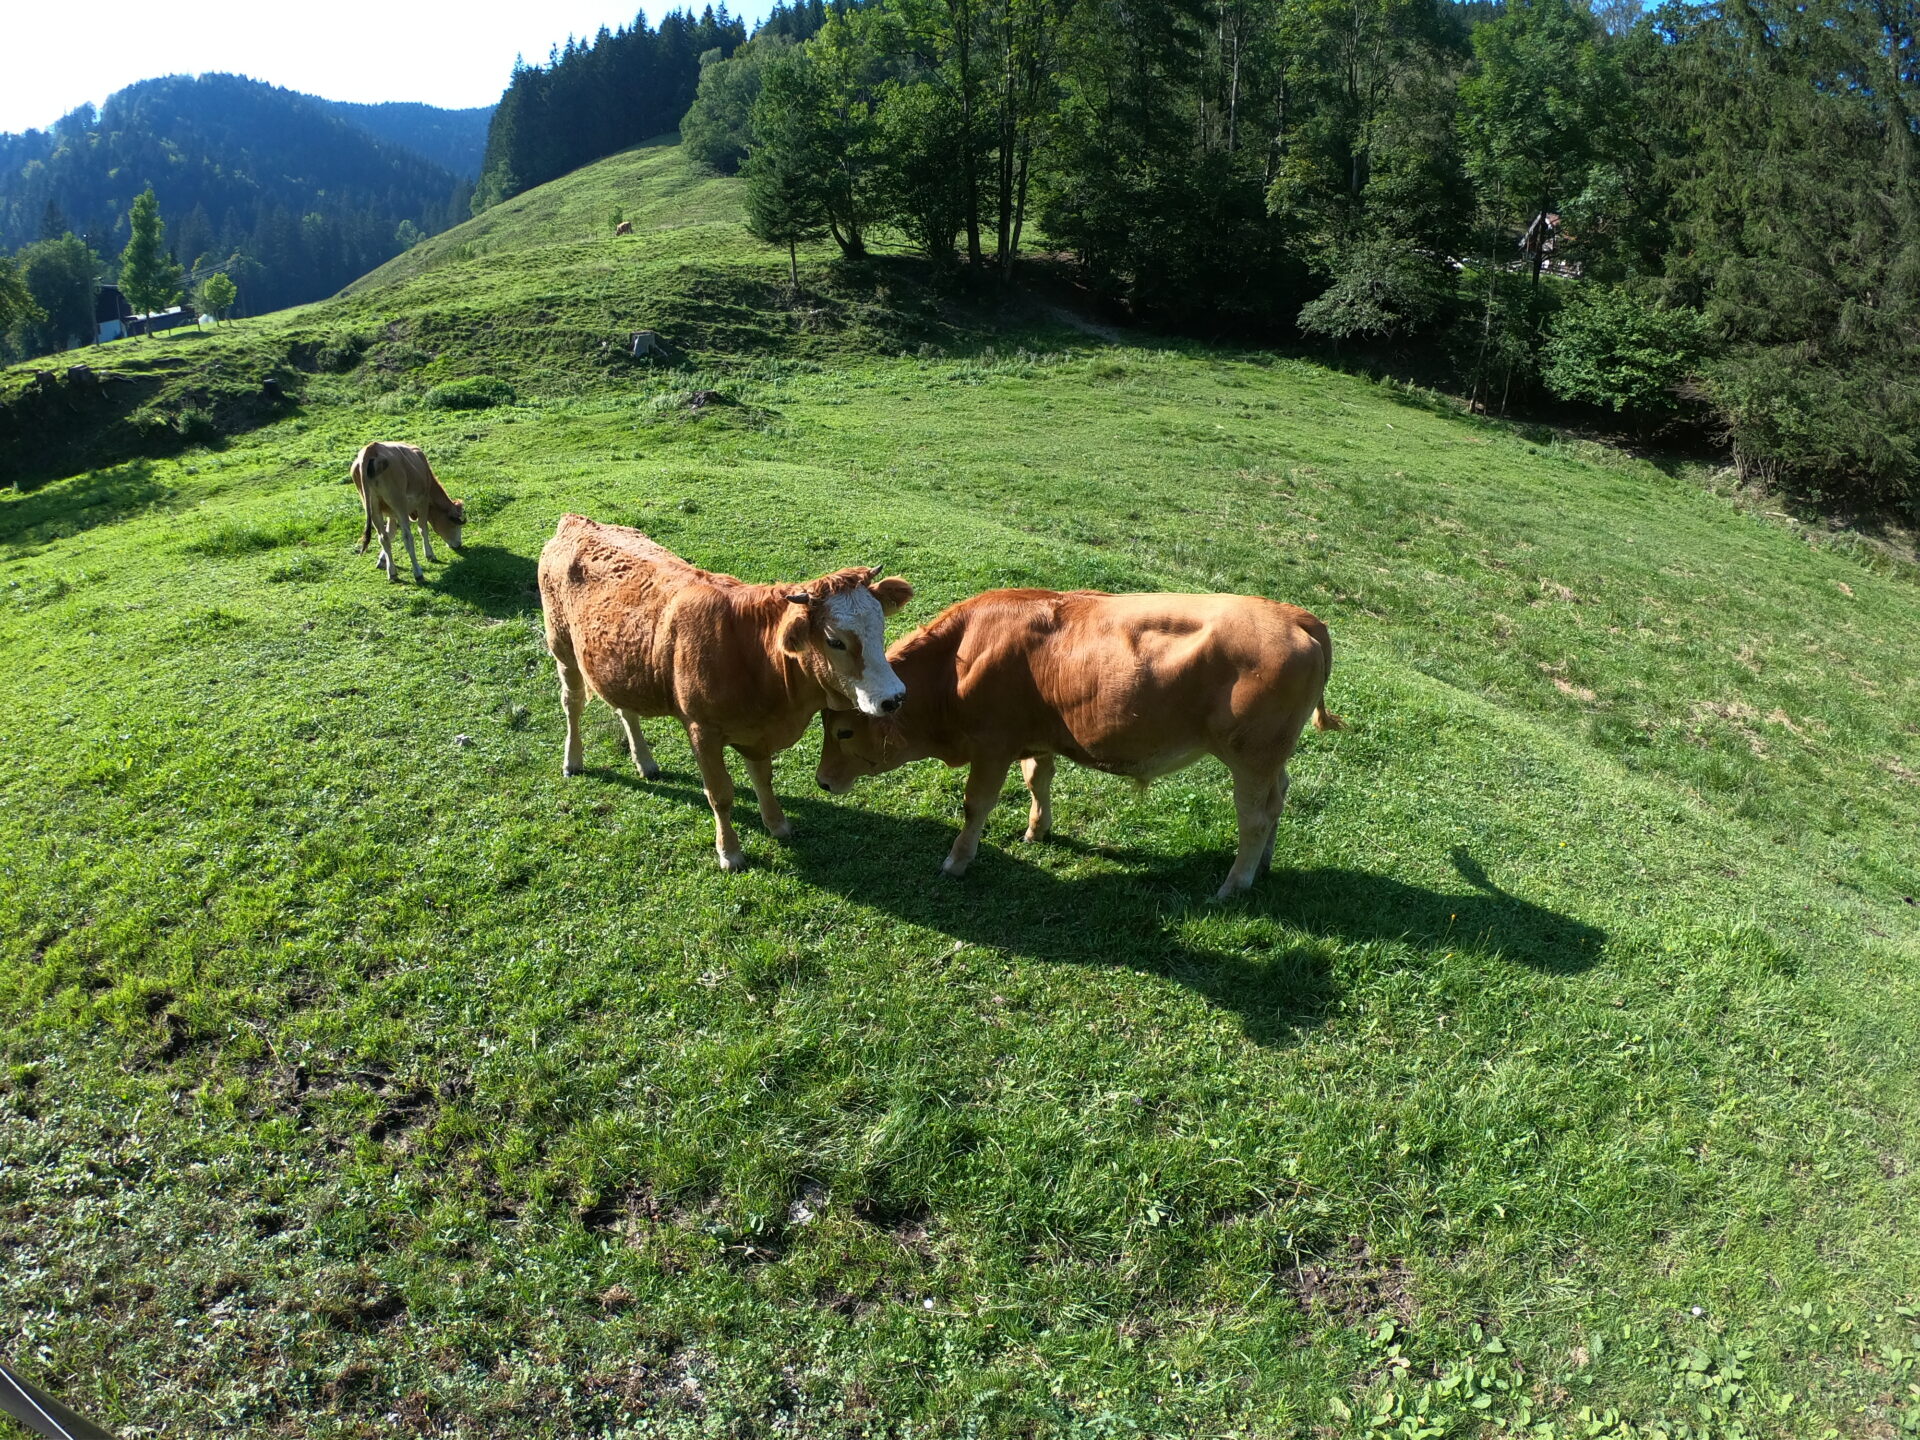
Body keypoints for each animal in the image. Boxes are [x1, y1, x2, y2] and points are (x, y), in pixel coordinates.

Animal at [349, 442, 466, 584]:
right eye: (455, 524)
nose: (459, 545)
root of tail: (372, 448)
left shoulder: (391, 513)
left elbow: (390, 533)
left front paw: (382, 560)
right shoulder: (423, 500)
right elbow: (423, 529)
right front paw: (429, 554)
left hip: (373, 507)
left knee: (383, 537)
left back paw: (392, 573)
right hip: (399, 503)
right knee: (407, 537)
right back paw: (418, 572)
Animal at [538, 515, 913, 871]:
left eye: (880, 626)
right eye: (835, 641)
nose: (894, 697)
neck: (751, 654)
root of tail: (576, 521)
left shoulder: (757, 733)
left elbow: (763, 778)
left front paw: (776, 823)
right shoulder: (701, 730)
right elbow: (720, 794)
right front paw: (729, 852)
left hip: (620, 667)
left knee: (626, 710)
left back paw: (645, 762)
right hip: (562, 647)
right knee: (572, 703)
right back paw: (573, 760)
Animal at [815, 589, 1343, 898]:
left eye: (844, 731)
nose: (821, 781)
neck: (960, 660)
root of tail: (1295, 615)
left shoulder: (992, 745)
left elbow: (976, 804)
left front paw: (957, 860)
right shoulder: (1037, 738)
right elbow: (1038, 780)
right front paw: (1037, 830)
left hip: (1251, 757)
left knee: (1254, 818)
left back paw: (1234, 884)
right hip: (1272, 757)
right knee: (1278, 798)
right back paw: (1265, 864)